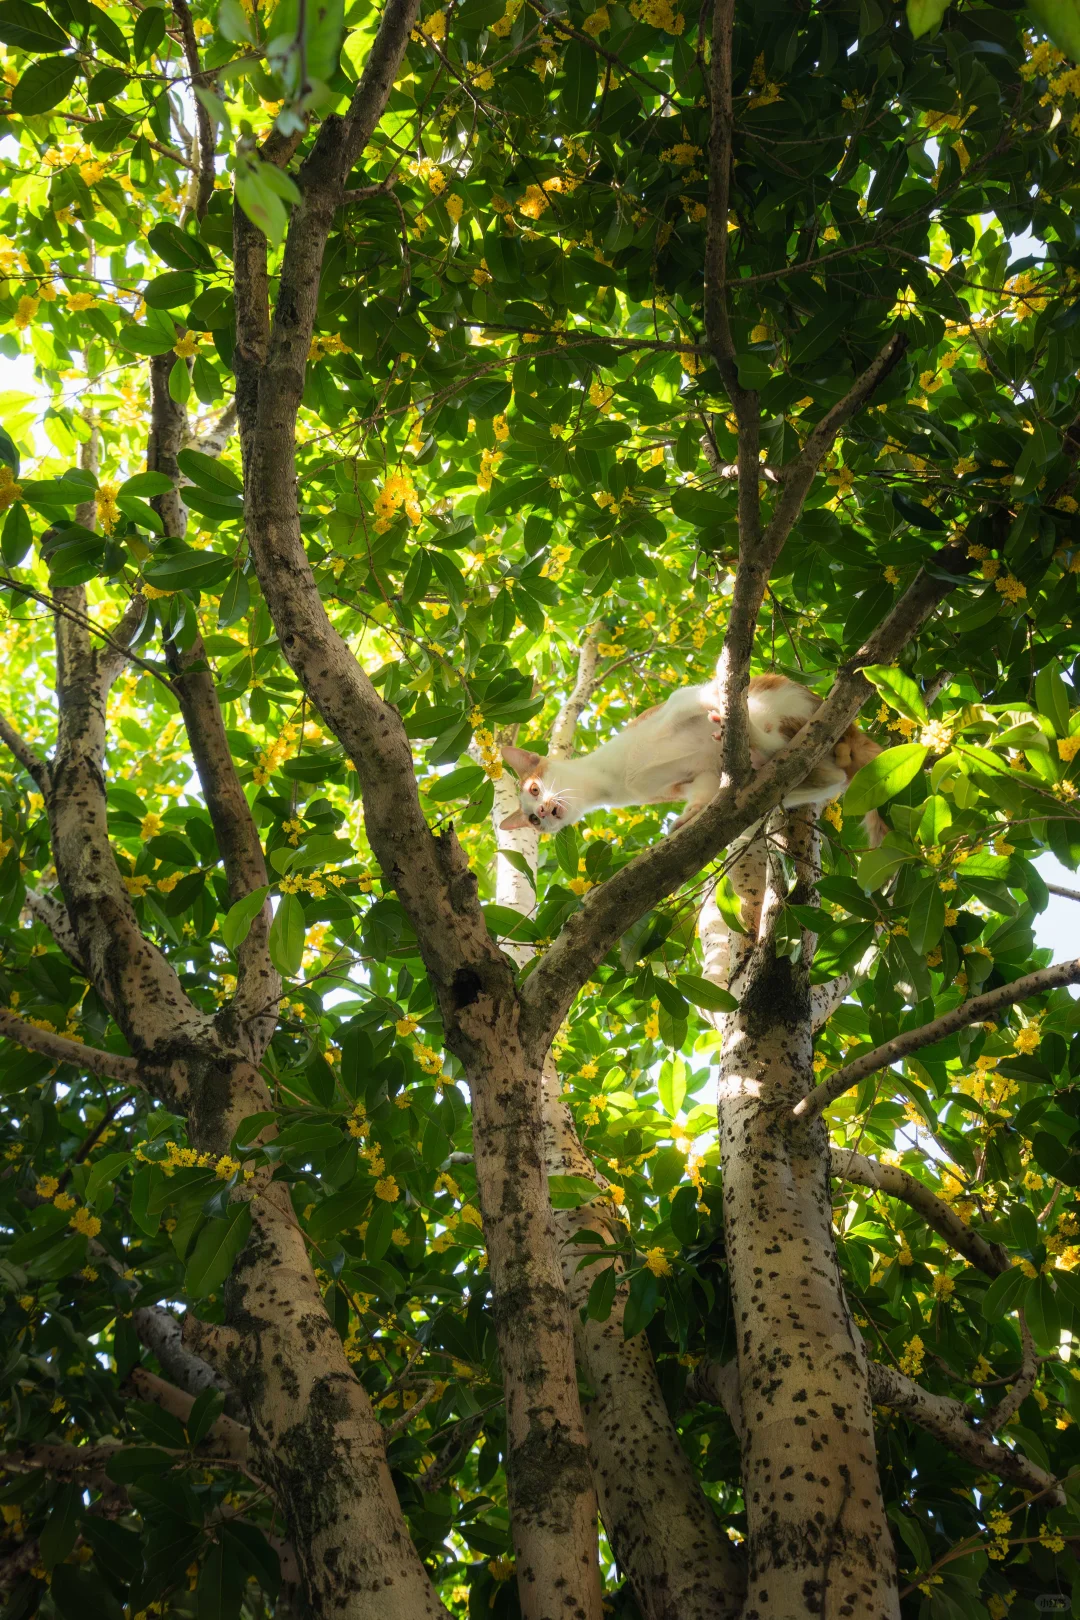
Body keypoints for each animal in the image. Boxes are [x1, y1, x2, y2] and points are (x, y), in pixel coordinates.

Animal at [498, 670, 887, 848]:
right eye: (532, 820)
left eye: (534, 789)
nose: (542, 812)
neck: (611, 780)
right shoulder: (694, 778)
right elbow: (703, 791)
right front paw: (691, 816)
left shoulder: (679, 703)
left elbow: (699, 696)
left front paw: (719, 694)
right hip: (805, 780)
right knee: (827, 775)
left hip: (779, 704)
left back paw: (750, 733)